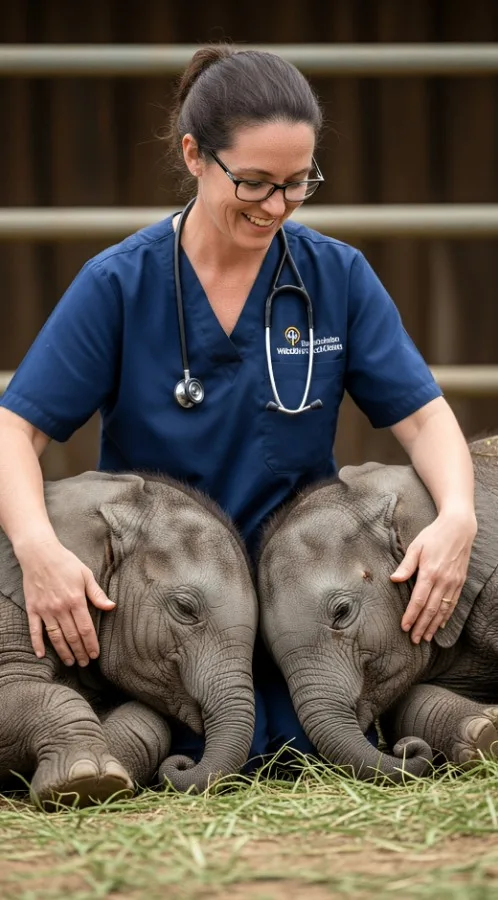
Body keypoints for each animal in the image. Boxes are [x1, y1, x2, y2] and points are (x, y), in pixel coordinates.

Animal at [0, 471, 257, 806]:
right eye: (185, 609)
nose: (184, 762)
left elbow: (147, 722)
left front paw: (108, 771)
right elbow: (34, 693)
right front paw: (83, 782)